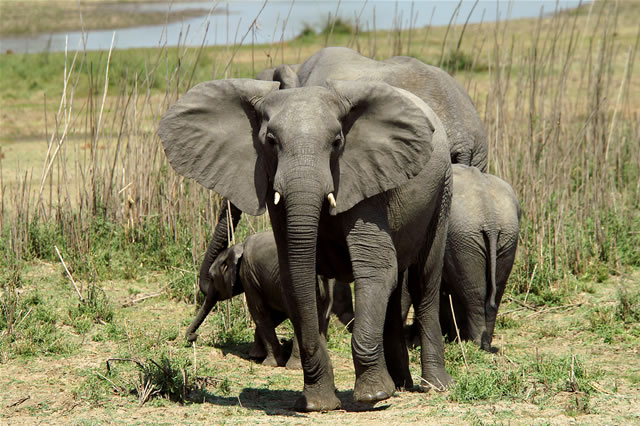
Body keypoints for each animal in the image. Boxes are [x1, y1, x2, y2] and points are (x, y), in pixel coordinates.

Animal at [189, 231, 356, 368]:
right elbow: (275, 315)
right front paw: (255, 355)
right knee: (320, 318)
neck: (237, 247)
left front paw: (268, 363)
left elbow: (259, 312)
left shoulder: (248, 275)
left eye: (211, 277)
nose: (194, 337)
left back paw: (294, 367)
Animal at [438, 165, 524, 352]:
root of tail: (490, 218)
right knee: (495, 290)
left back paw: (476, 343)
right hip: (506, 237)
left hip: (464, 239)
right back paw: (485, 342)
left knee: (473, 292)